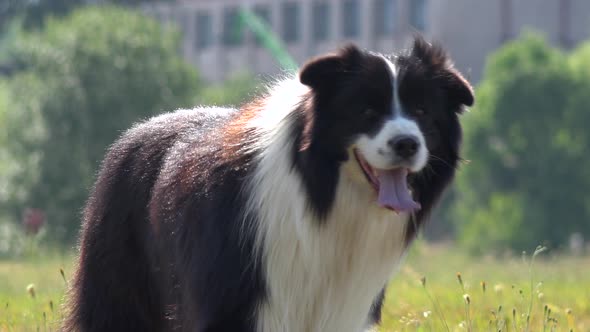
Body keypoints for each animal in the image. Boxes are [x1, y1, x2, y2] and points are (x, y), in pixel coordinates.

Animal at [65, 37, 474, 332]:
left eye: (422, 112)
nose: (407, 144)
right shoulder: (240, 304)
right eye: (367, 110)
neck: (324, 196)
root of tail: (131, 133)